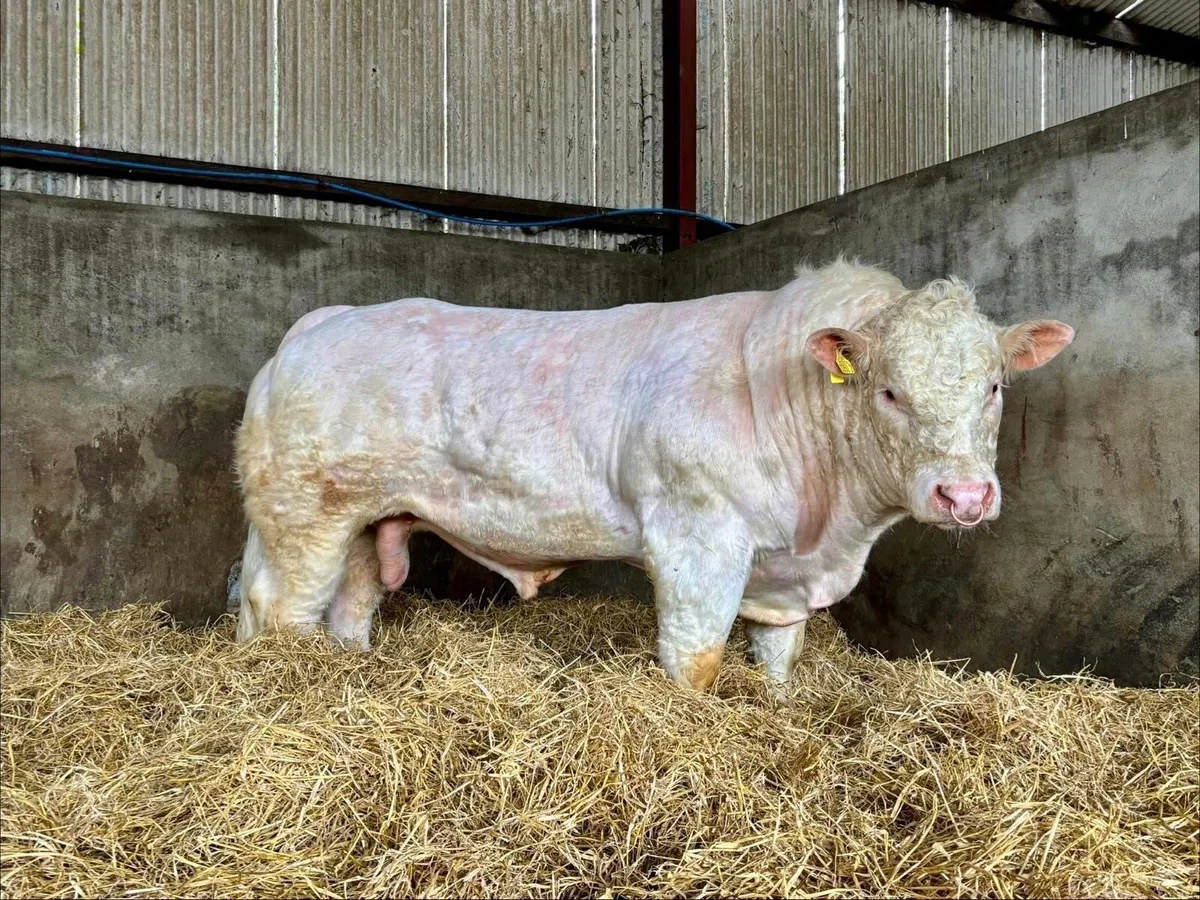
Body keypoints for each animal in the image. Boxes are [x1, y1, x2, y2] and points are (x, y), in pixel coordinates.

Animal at [232, 260, 1073, 690]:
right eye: (890, 391)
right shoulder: (696, 535)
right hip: (308, 515)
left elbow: (780, 659)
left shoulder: (785, 573)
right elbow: (696, 657)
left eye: (994, 385)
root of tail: (320, 323)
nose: (964, 495)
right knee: (283, 611)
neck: (828, 528)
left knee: (340, 608)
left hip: (365, 520)